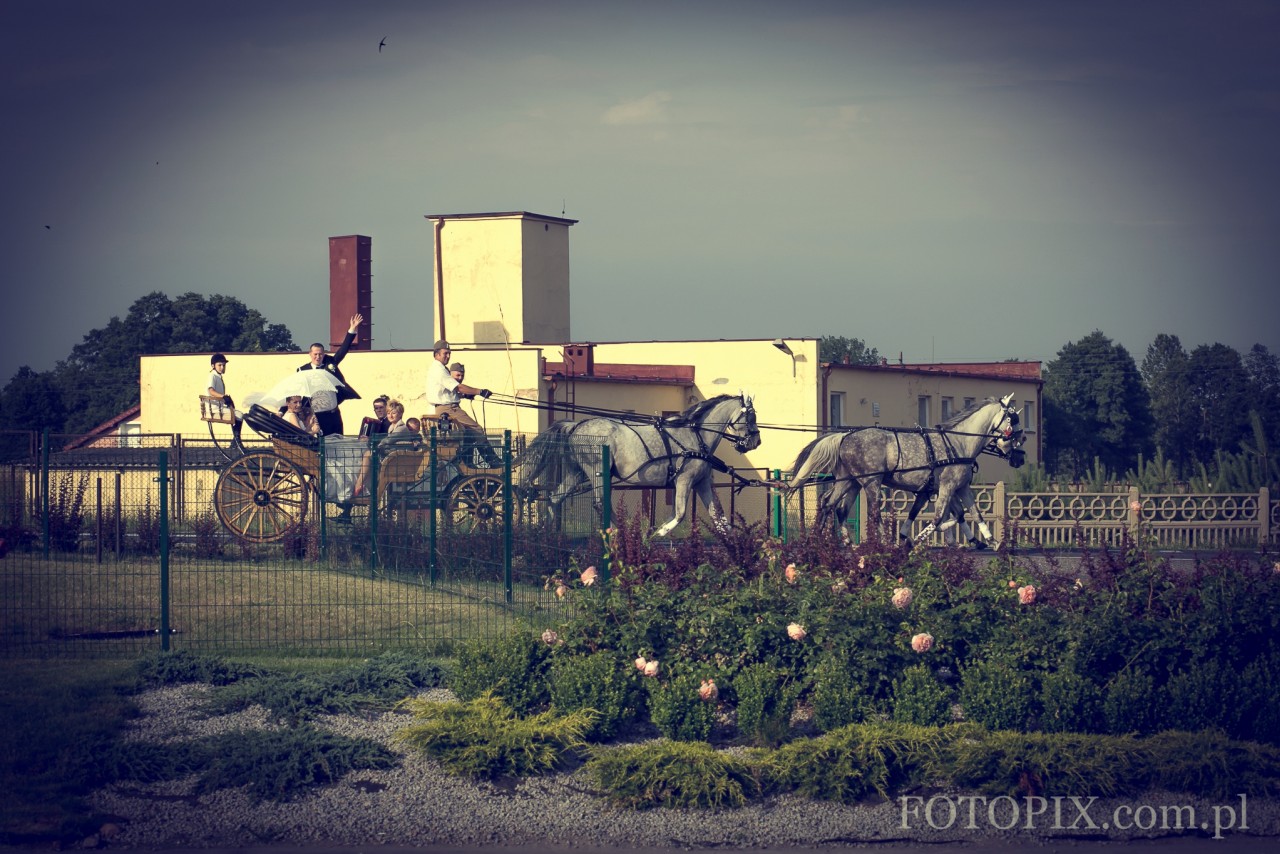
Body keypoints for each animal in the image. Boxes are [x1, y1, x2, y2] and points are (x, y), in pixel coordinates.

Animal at [519, 391, 757, 535]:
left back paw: (542, 535)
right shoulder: (684, 480)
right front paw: (655, 534)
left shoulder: (701, 482)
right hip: (596, 470)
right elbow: (680, 514)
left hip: (576, 472)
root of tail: (575, 426)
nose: (756, 441)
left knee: (554, 498)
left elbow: (719, 516)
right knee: (599, 503)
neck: (695, 436)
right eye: (751, 417)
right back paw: (617, 533)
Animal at [783, 394, 1024, 547]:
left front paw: (992, 541)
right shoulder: (947, 487)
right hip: (871, 482)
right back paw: (884, 542)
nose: (1020, 456)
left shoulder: (960, 487)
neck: (957, 443)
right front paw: (914, 540)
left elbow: (973, 513)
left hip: (848, 480)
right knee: (872, 511)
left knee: (831, 505)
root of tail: (845, 436)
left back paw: (829, 540)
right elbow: (940, 517)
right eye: (1013, 420)